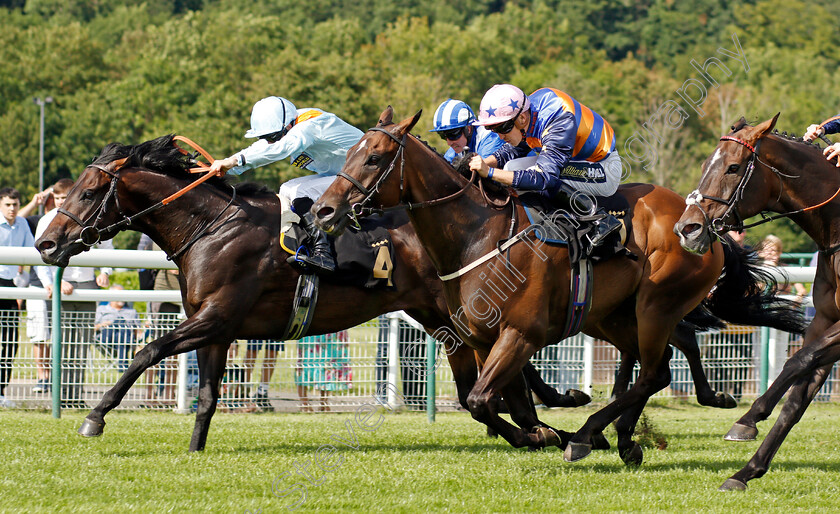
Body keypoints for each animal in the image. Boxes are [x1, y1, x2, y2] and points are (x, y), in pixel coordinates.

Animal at [34, 135, 584, 448]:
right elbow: (208, 396)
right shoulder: (216, 327)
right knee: (503, 371)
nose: (45, 242)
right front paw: (194, 450)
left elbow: (146, 351)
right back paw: (549, 417)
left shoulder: (214, 317)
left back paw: (542, 427)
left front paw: (95, 418)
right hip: (442, 315)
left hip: (453, 315)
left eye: (88, 192)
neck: (211, 227)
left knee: (497, 372)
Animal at [312, 107, 804, 464]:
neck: (478, 235)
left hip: (655, 304)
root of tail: (704, 226)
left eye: (373, 157)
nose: (322, 210)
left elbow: (482, 399)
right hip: (612, 316)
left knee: (656, 370)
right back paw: (630, 433)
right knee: (666, 355)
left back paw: (593, 434)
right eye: (350, 153)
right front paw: (541, 430)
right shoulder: (483, 338)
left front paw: (549, 433)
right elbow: (491, 402)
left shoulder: (520, 334)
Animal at [676, 114, 840, 490]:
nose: (687, 228)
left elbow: (797, 361)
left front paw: (749, 417)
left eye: (734, 167)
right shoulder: (824, 321)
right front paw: (745, 472)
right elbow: (796, 401)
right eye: (706, 164)